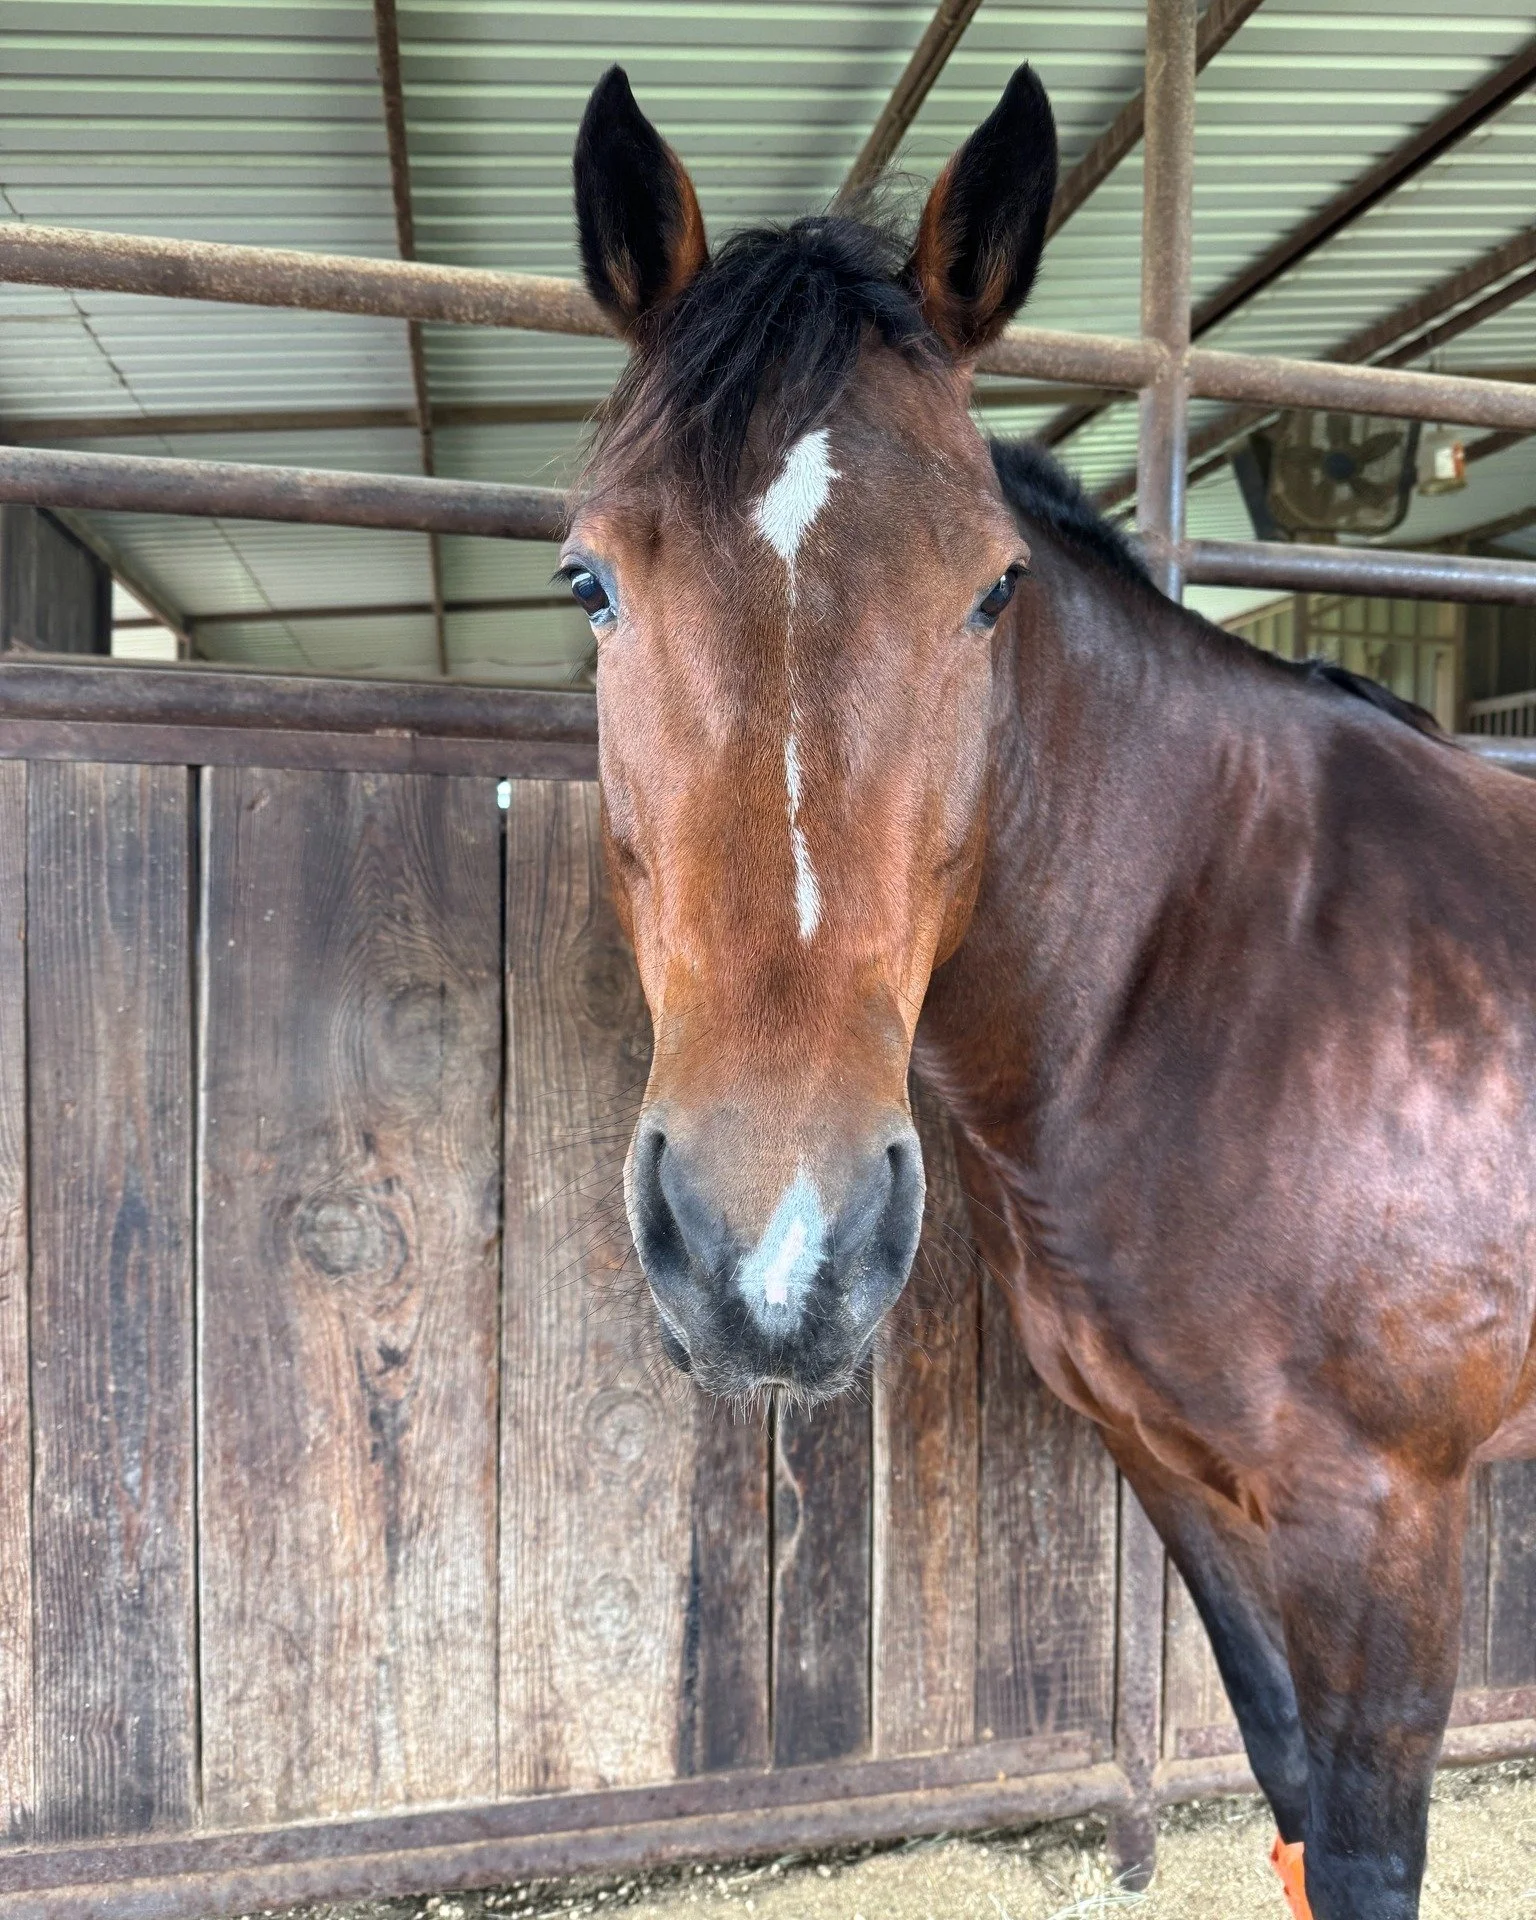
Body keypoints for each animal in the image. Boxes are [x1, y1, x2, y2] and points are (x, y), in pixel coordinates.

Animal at [560, 60, 1536, 1920]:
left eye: (993, 586)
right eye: (589, 580)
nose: (770, 1248)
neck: (1231, 965)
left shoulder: (1388, 1518)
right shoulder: (1181, 1481)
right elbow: (1290, 1808)